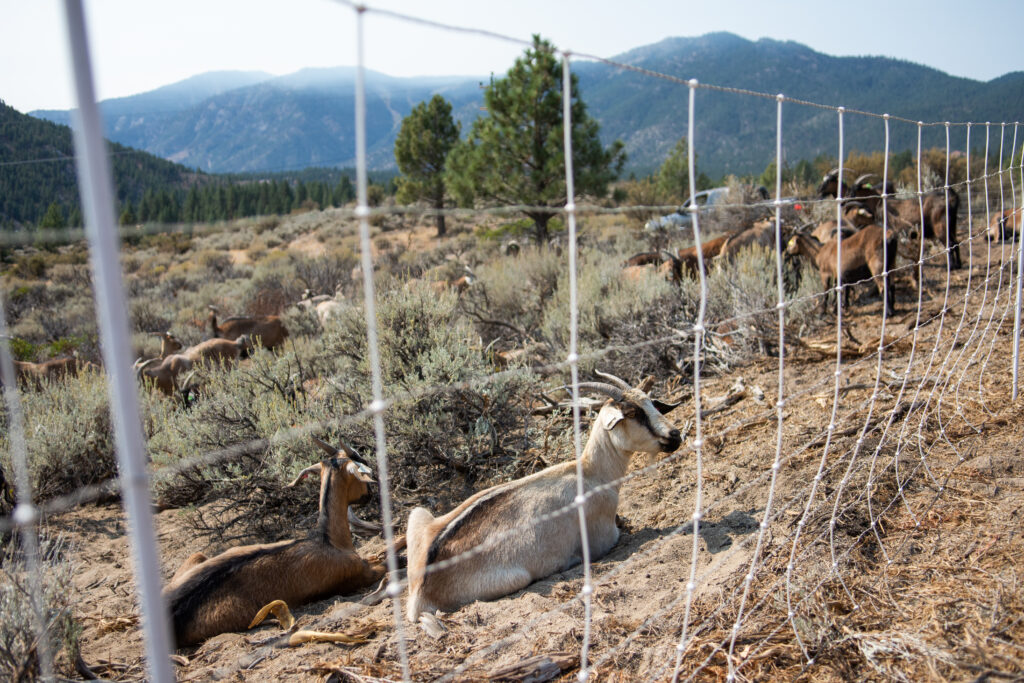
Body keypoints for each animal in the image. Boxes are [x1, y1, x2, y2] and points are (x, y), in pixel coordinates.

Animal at [405, 370, 679, 626]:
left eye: (651, 404)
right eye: (632, 413)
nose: (674, 435)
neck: (590, 472)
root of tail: (420, 593)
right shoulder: (605, 538)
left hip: (417, 513)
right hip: (518, 578)